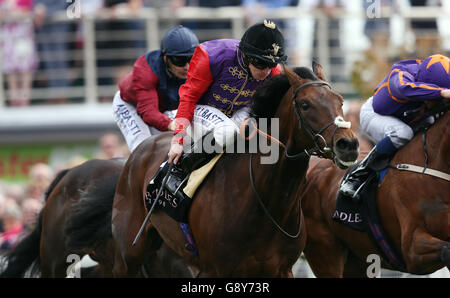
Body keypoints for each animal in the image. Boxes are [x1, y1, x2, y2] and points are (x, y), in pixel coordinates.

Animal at [110, 63, 358, 278]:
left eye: (340, 100)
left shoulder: (281, 269)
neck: (266, 201)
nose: (348, 145)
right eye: (306, 104)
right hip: (127, 255)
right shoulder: (213, 270)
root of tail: (143, 147)